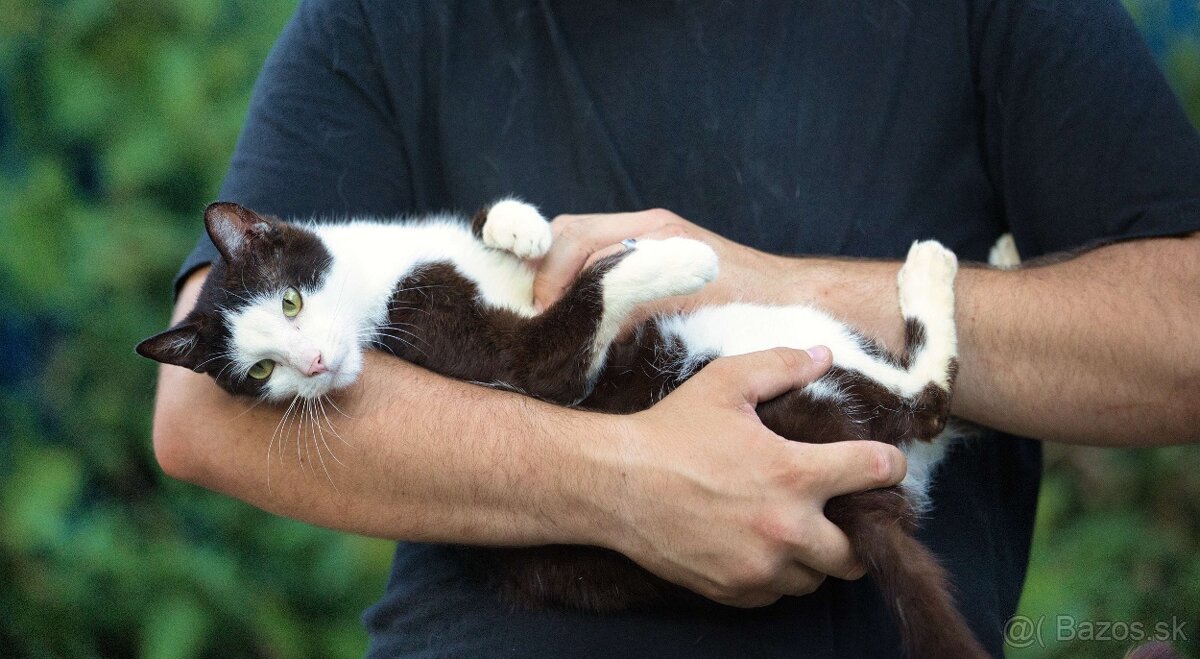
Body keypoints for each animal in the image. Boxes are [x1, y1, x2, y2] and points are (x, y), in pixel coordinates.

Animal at [140, 200, 984, 657]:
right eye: (259, 373)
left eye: (288, 301)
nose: (312, 363)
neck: (377, 284)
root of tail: (859, 498)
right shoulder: (517, 363)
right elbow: (579, 309)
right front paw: (676, 253)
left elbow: (498, 228)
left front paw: (522, 229)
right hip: (751, 341)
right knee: (925, 402)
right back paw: (931, 274)